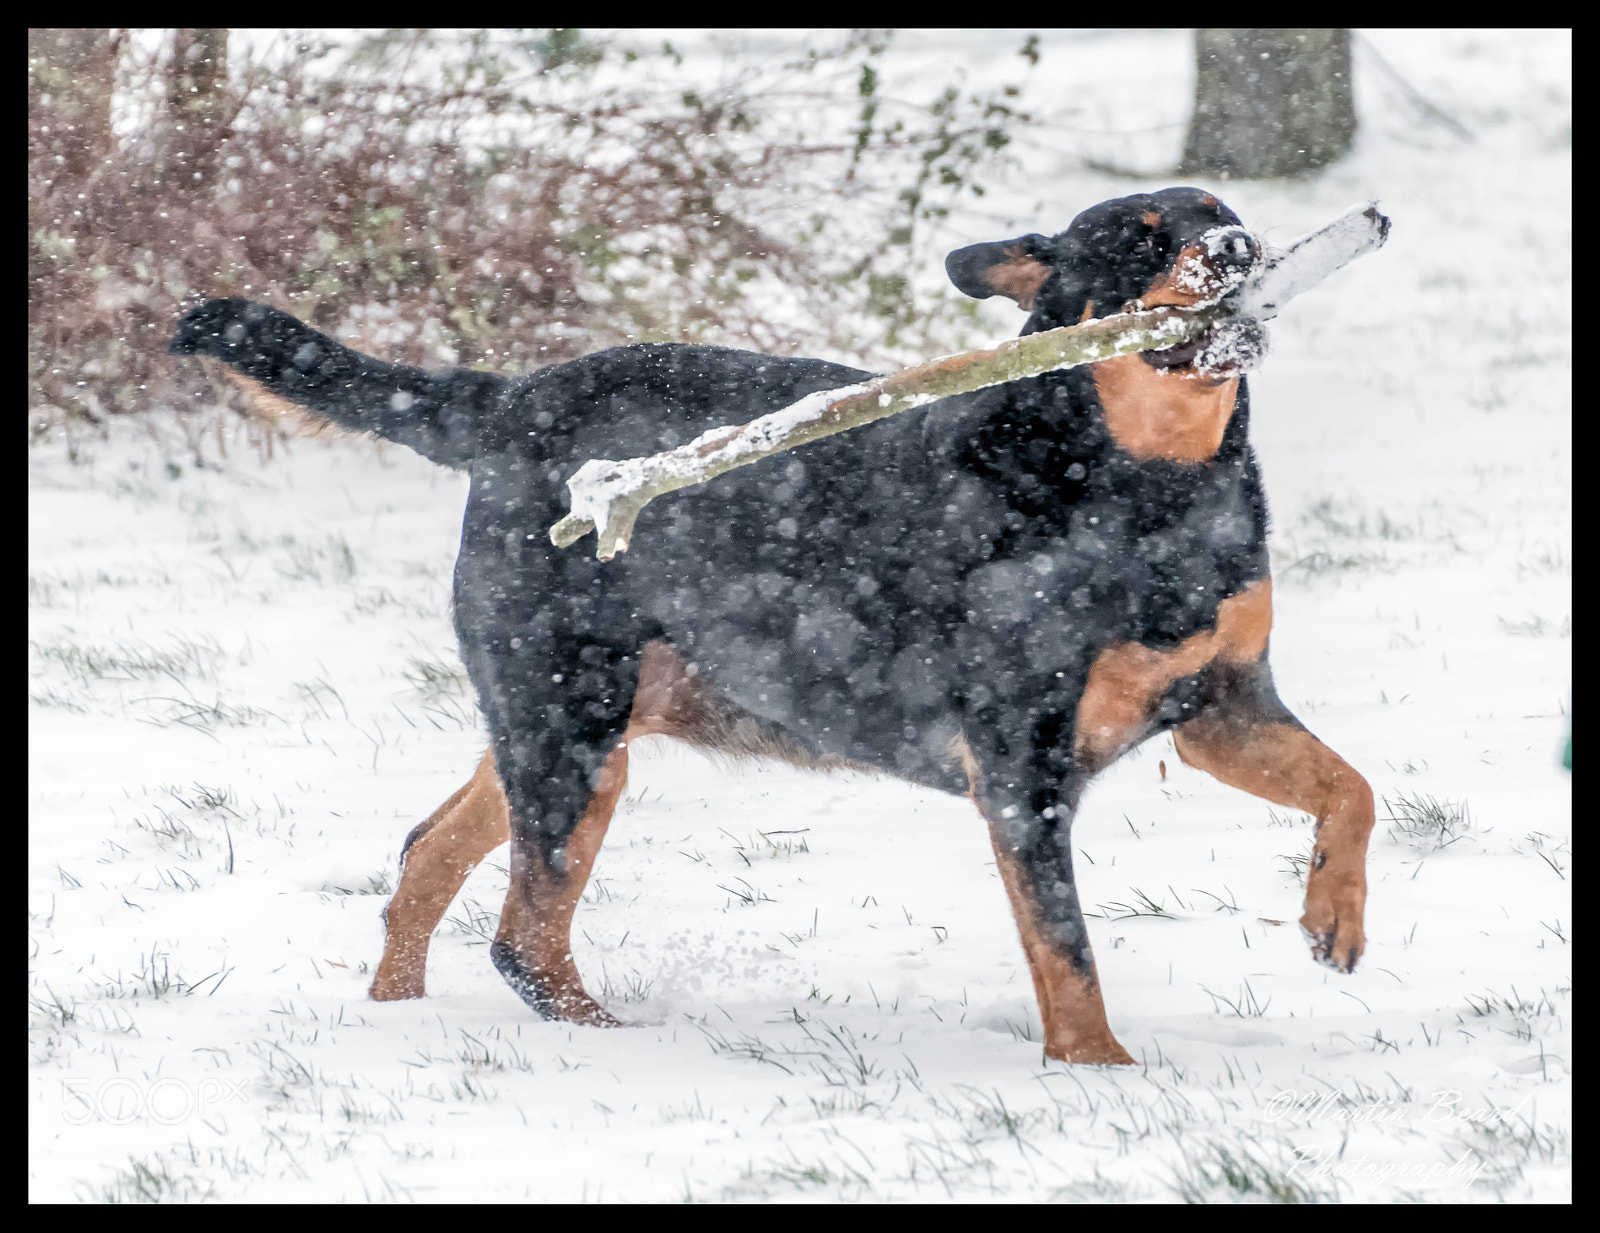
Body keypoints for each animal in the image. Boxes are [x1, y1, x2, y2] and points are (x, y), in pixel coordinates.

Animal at [175, 187, 1376, 1068]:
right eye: (1141, 238)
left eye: (1227, 212)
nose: (1238, 247)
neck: (1142, 488)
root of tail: (505, 401)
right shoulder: (1019, 764)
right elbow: (1065, 946)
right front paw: (1099, 1075)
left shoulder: (1221, 705)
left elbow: (1350, 787)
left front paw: (1336, 920)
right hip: (570, 723)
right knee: (523, 938)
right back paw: (611, 1045)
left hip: (584, 721)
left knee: (432, 853)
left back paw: (399, 1018)